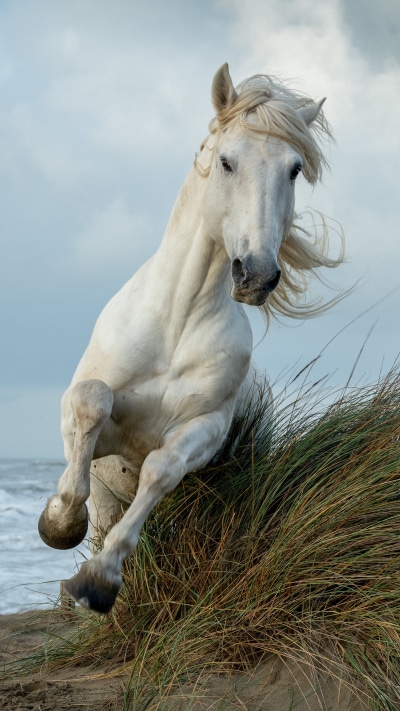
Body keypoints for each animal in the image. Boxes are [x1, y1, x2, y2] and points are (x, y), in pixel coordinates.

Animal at [38, 63, 343, 613]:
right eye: (226, 162)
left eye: (293, 169)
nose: (257, 275)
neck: (175, 325)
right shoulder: (100, 429)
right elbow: (92, 402)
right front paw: (58, 524)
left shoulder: (202, 430)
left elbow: (161, 467)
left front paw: (98, 581)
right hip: (109, 492)